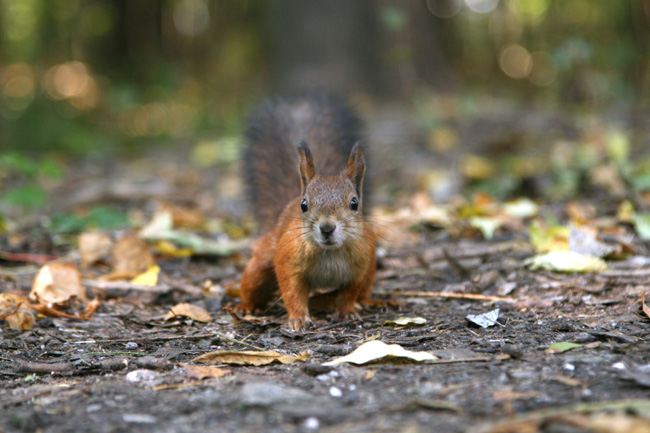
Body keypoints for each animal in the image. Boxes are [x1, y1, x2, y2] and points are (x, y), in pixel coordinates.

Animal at [235, 94, 384, 330]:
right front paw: (298, 318)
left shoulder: (361, 266)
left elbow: (350, 293)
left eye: (354, 203)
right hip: (260, 264)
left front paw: (347, 312)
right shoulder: (288, 259)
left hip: (371, 270)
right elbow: (291, 291)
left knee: (361, 293)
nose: (327, 228)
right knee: (253, 285)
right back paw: (246, 306)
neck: (330, 252)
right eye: (304, 205)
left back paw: (373, 301)